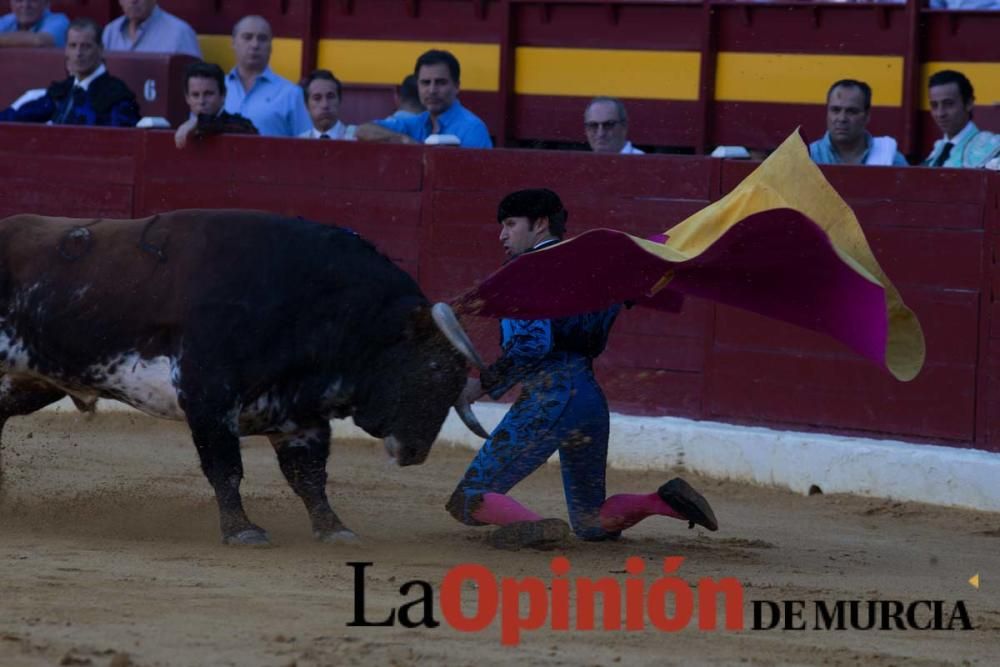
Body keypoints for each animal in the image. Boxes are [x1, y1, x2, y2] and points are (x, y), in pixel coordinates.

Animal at [0, 211, 488, 544]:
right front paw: (241, 531)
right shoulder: (208, 398)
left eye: (454, 380)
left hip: (35, 381)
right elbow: (226, 468)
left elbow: (309, 478)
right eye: (430, 369)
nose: (415, 453)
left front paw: (334, 529)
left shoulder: (300, 418)